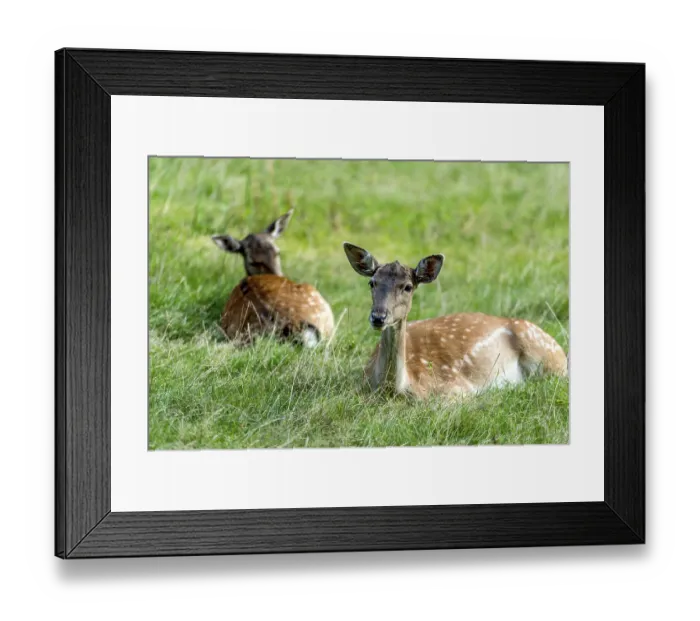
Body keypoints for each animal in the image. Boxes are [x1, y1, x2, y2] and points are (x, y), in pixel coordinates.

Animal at [342, 242, 568, 399]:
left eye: (407, 286)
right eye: (372, 282)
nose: (378, 317)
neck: (397, 389)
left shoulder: (457, 389)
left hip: (549, 359)